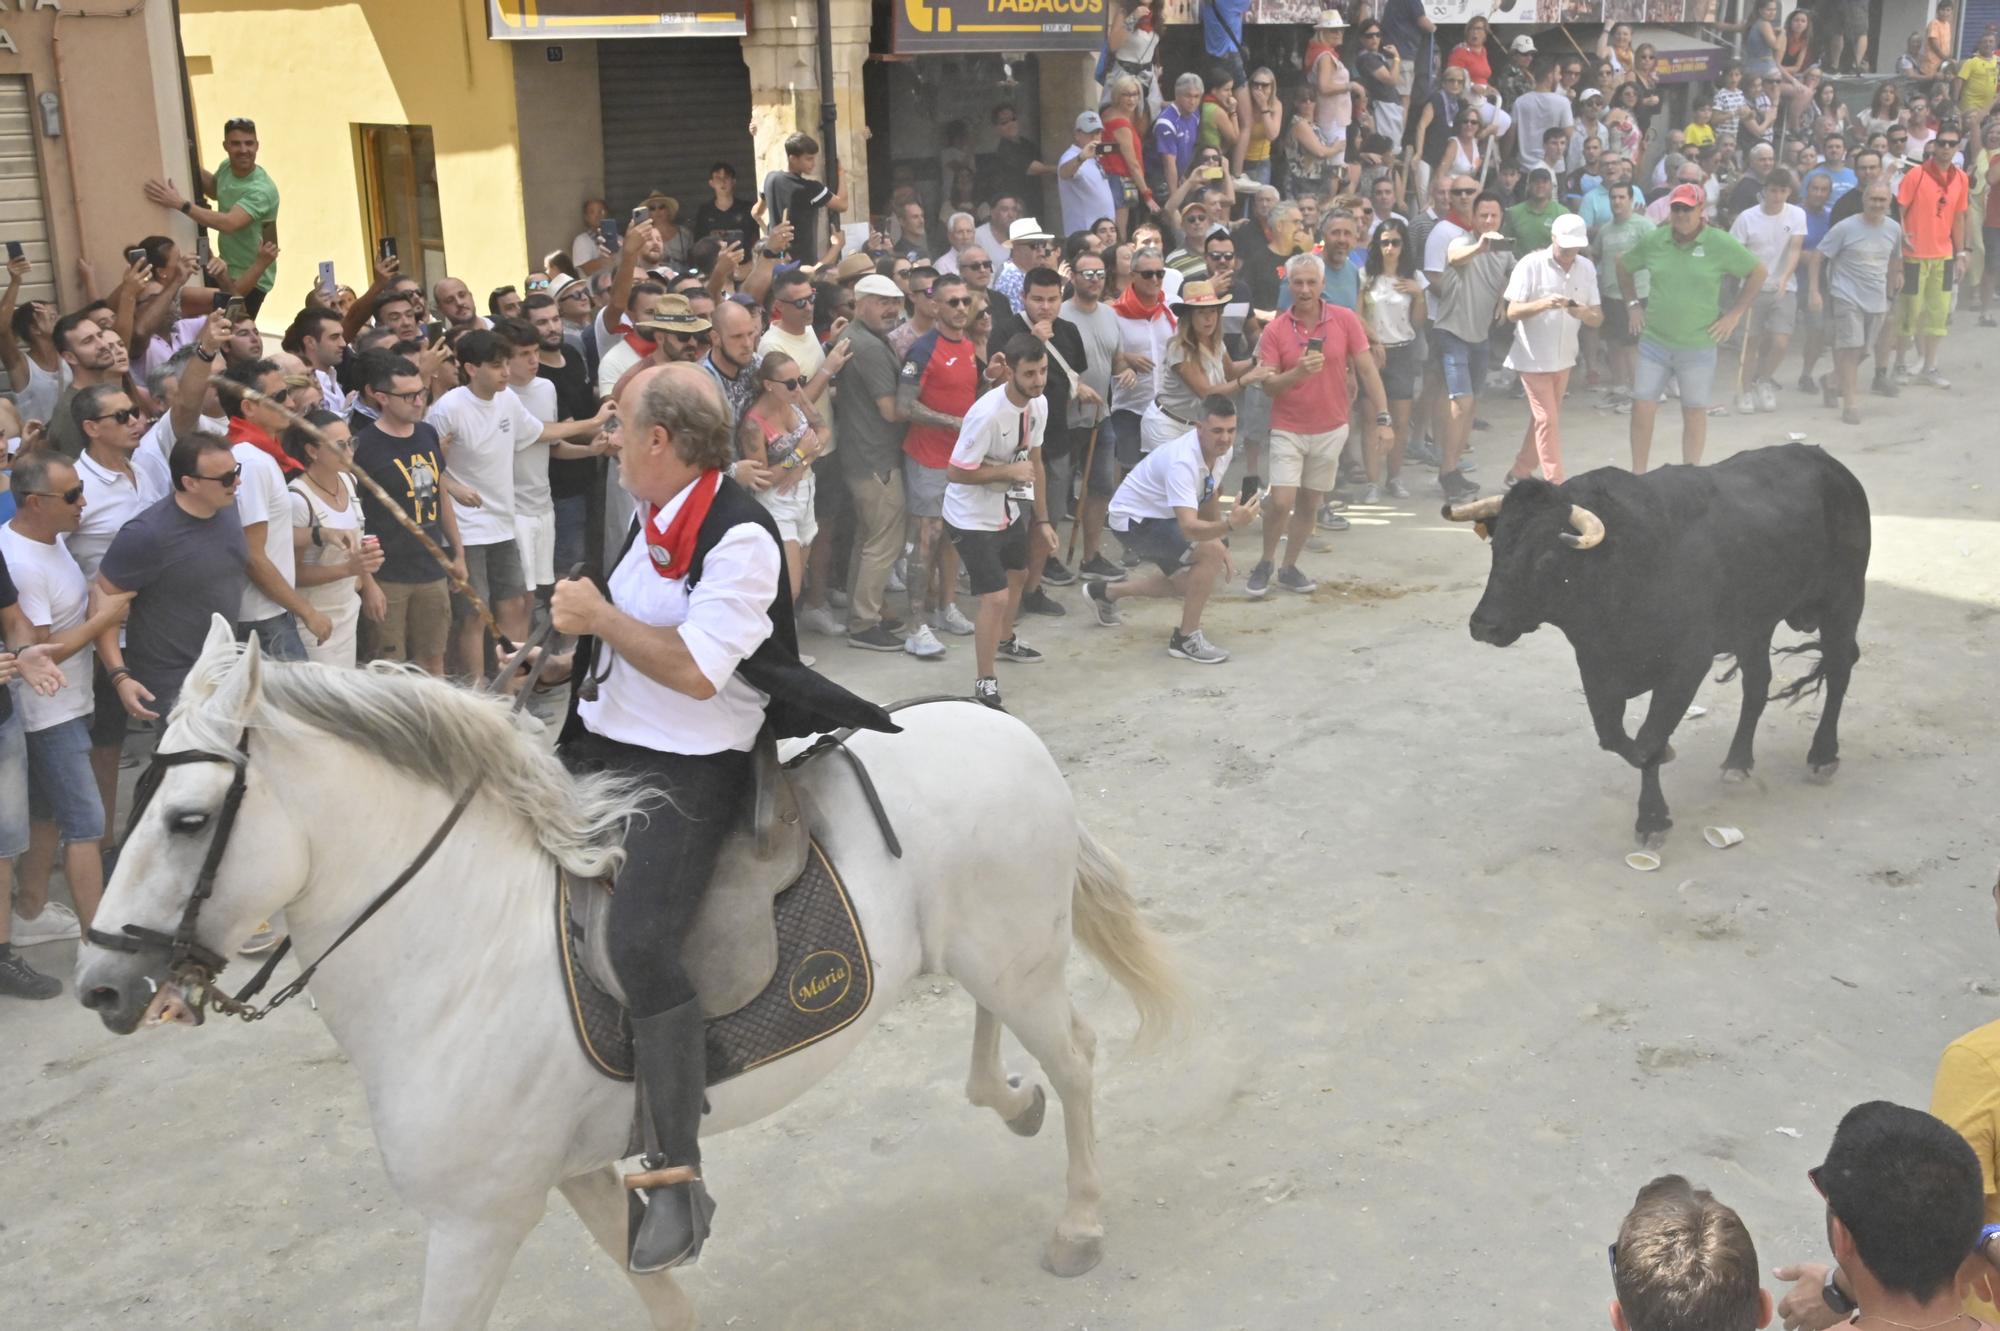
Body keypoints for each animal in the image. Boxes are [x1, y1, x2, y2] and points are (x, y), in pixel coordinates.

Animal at [78, 623, 1184, 1327]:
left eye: (186, 818)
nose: (99, 985)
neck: (458, 945)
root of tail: (1001, 725)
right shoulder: (575, 1173)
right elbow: (653, 1288)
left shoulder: (475, 1222)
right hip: (985, 950)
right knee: (1008, 1044)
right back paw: (1011, 1098)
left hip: (1018, 956)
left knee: (1079, 1058)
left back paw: (1078, 1219)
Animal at [1448, 439, 1864, 843]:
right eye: (1496, 547)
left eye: (1547, 558)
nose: (1484, 625)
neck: (1621, 565)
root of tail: (1828, 463)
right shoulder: (1596, 667)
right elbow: (1614, 737)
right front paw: (1663, 764)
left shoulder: (1686, 666)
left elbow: (1647, 739)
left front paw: (1652, 817)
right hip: (1754, 624)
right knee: (1757, 684)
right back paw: (1737, 761)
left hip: (1844, 602)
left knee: (1839, 671)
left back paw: (1823, 754)